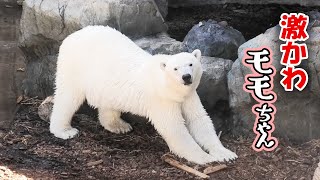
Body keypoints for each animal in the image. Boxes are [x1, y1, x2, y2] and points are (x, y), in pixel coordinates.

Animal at [50, 25, 238, 165]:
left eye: (191, 64)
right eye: (175, 68)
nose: (186, 77)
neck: (167, 86)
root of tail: (71, 36)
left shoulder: (189, 96)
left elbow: (199, 120)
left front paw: (225, 153)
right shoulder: (162, 100)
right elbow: (175, 128)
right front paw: (205, 158)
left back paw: (119, 125)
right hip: (75, 65)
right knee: (68, 96)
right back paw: (64, 130)